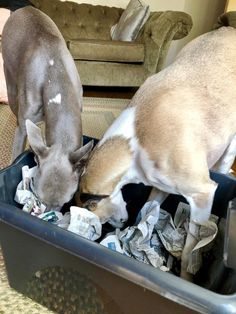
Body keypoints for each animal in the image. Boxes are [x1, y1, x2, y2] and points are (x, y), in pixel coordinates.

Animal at [75, 26, 236, 278]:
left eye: (96, 218)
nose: (119, 225)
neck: (137, 138)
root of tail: (226, 27)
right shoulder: (160, 188)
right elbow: (145, 215)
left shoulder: (202, 195)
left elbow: (190, 249)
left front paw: (186, 275)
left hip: (231, 145)